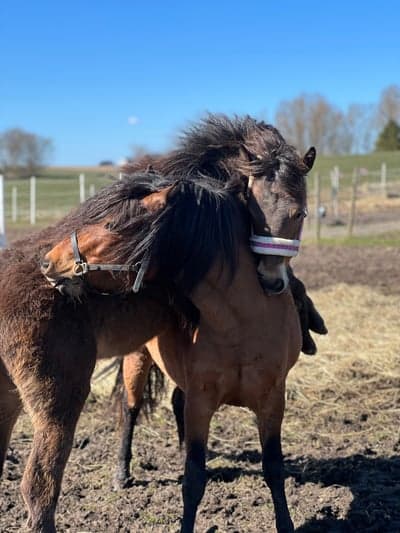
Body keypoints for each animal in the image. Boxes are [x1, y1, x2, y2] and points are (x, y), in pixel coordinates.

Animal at [40, 156, 314, 528]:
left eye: (111, 224)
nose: (48, 260)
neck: (243, 322)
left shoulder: (273, 401)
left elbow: (273, 469)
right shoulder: (201, 402)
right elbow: (193, 480)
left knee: (173, 401)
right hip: (137, 361)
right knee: (131, 409)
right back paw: (122, 473)